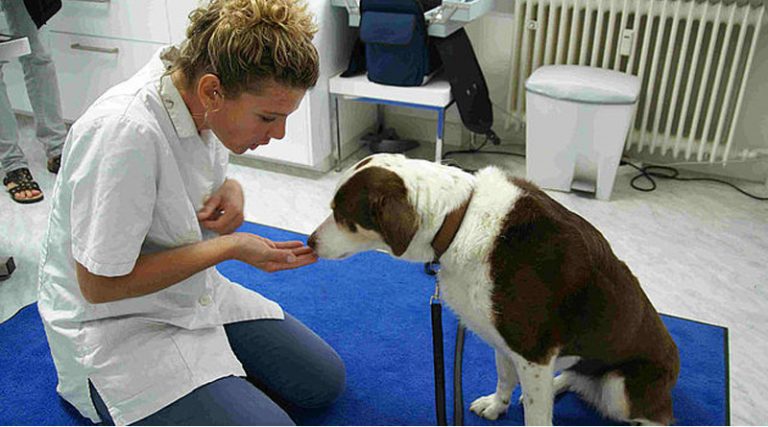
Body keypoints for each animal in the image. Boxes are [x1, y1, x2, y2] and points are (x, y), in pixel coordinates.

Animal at [306, 153, 680, 424]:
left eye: (341, 214)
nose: (309, 242)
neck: (458, 220)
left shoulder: (532, 351)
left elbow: (536, 416)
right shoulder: (503, 337)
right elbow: (504, 375)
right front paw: (497, 405)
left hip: (622, 389)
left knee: (656, 416)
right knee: (576, 378)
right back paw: (560, 383)